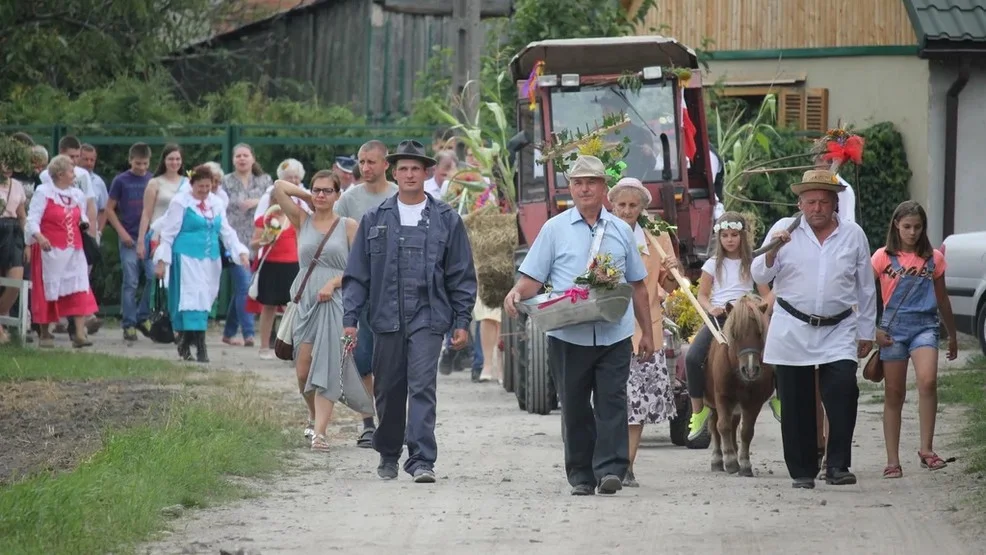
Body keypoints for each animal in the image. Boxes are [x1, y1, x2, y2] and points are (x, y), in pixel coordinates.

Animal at [704, 296, 772, 478]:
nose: (750, 369)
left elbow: (746, 431)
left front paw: (744, 464)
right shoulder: (722, 397)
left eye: (760, 333)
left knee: (733, 425)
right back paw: (717, 460)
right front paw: (730, 461)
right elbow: (723, 426)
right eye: (735, 333)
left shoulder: (754, 402)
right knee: (714, 425)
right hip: (715, 404)